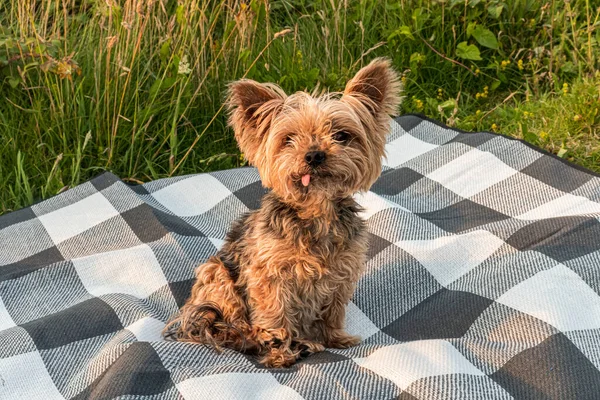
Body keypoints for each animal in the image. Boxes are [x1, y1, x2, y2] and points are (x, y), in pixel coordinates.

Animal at [164, 57, 400, 368]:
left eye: (341, 135)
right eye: (289, 139)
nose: (314, 155)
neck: (316, 211)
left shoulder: (342, 273)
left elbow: (332, 310)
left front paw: (334, 339)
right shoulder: (269, 276)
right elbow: (275, 314)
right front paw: (280, 353)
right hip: (218, 275)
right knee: (227, 323)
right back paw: (251, 337)